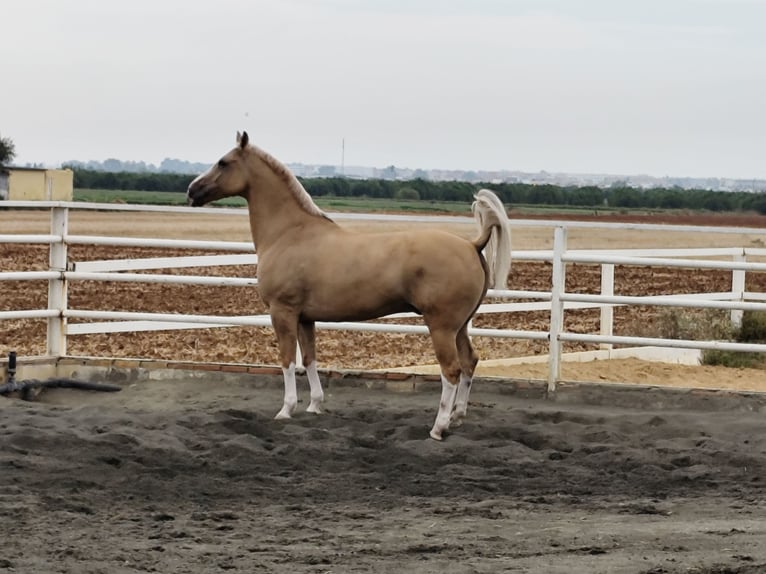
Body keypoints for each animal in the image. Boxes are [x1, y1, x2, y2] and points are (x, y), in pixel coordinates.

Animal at [187, 132, 512, 440]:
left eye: (223, 162)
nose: (192, 190)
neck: (290, 233)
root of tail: (472, 244)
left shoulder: (283, 312)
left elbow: (287, 360)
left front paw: (286, 409)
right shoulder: (305, 318)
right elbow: (310, 359)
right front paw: (314, 405)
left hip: (441, 327)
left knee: (451, 370)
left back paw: (438, 427)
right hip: (460, 327)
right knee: (469, 362)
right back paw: (457, 417)